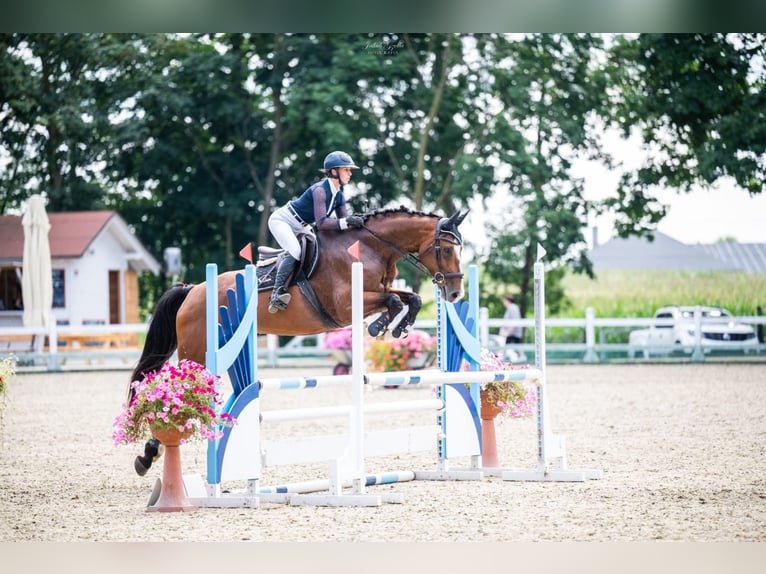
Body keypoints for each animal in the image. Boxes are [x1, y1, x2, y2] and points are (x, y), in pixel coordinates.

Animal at [130, 207, 468, 476]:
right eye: (446, 250)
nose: (454, 294)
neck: (373, 246)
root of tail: (193, 290)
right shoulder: (346, 305)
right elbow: (394, 301)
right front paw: (380, 326)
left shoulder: (380, 292)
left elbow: (410, 298)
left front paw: (397, 327)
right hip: (195, 353)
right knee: (177, 389)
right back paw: (149, 454)